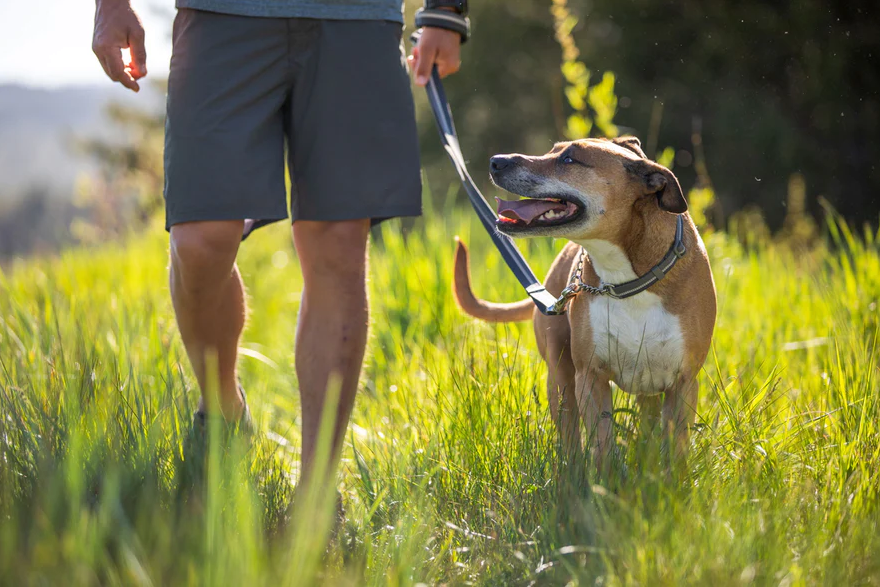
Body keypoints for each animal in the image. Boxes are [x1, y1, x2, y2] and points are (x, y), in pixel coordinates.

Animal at [454, 138, 716, 468]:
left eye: (569, 159)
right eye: (553, 150)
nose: (496, 161)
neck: (628, 280)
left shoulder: (683, 382)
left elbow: (676, 450)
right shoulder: (590, 377)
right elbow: (602, 445)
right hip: (561, 378)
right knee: (569, 435)